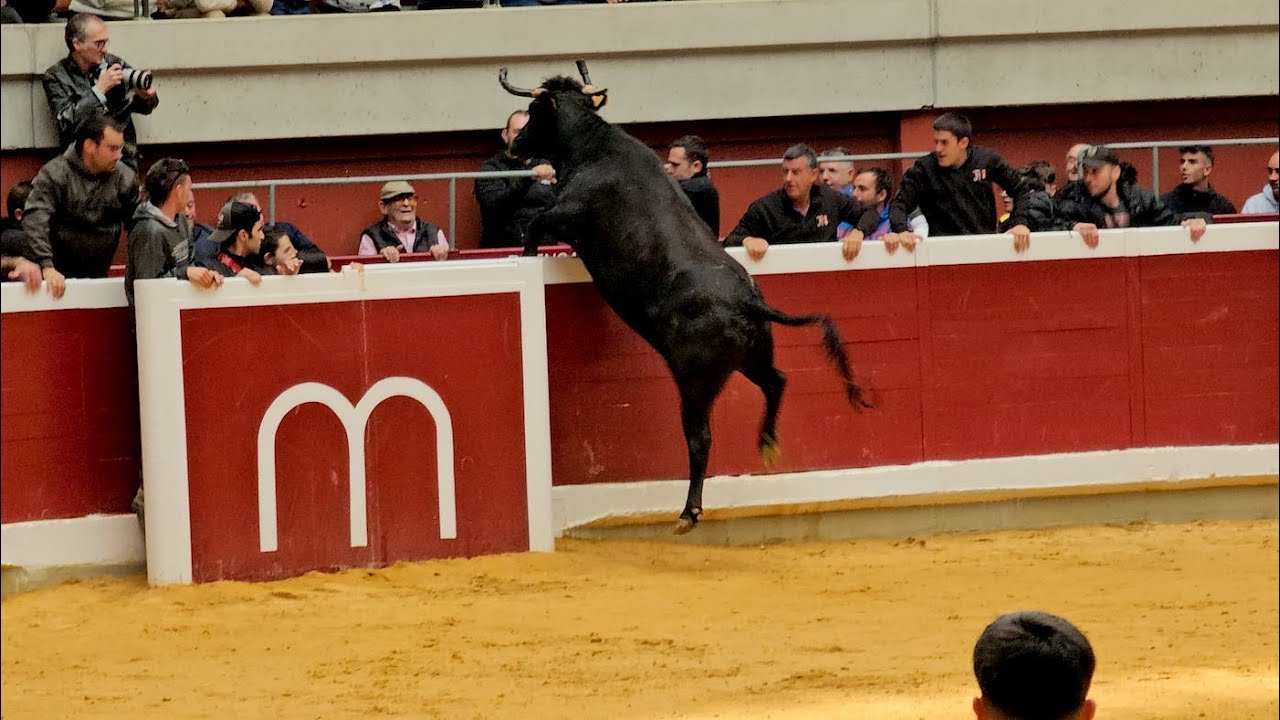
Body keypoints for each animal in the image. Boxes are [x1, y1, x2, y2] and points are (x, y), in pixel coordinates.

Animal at [501, 61, 872, 534]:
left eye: (534, 112)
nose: (514, 143)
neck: (593, 147)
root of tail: (747, 301)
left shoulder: (569, 211)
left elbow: (535, 225)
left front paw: (527, 255)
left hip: (694, 379)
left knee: (700, 437)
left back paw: (688, 512)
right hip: (751, 355)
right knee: (776, 380)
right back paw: (766, 443)